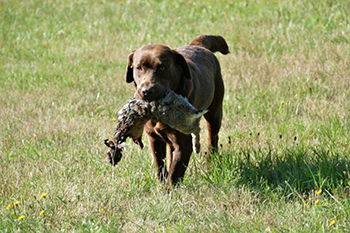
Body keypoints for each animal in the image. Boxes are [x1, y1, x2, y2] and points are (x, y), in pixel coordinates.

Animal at [126, 35, 230, 187]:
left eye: (162, 67)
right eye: (139, 67)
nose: (146, 91)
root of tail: (198, 45)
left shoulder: (183, 143)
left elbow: (174, 173)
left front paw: (168, 191)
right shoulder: (154, 138)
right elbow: (160, 166)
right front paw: (161, 186)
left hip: (215, 111)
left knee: (213, 137)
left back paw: (211, 163)